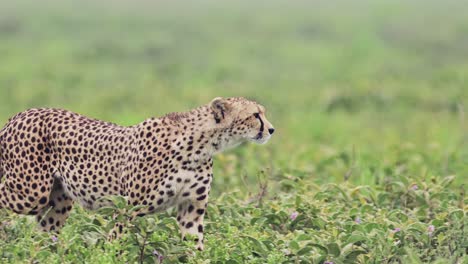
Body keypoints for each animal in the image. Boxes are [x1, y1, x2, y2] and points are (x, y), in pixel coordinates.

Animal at [0, 97, 274, 250]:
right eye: (255, 115)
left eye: (262, 113)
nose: (271, 129)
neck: (200, 144)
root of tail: (19, 114)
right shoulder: (127, 208)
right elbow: (117, 242)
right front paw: (108, 256)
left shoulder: (191, 209)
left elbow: (194, 245)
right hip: (31, 193)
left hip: (57, 202)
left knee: (43, 236)